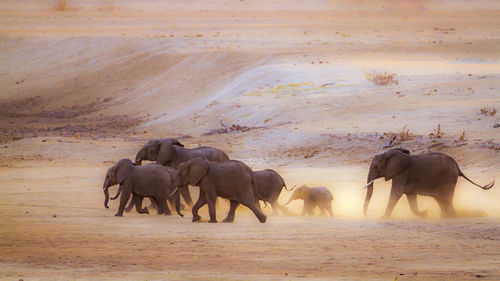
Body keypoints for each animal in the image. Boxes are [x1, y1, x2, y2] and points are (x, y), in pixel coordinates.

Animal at [366, 148, 494, 218]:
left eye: (376, 167)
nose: (366, 215)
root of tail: (457, 166)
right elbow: (411, 197)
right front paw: (427, 214)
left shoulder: (402, 174)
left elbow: (396, 194)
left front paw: (383, 218)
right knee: (442, 199)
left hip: (448, 178)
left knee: (445, 198)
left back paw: (447, 217)